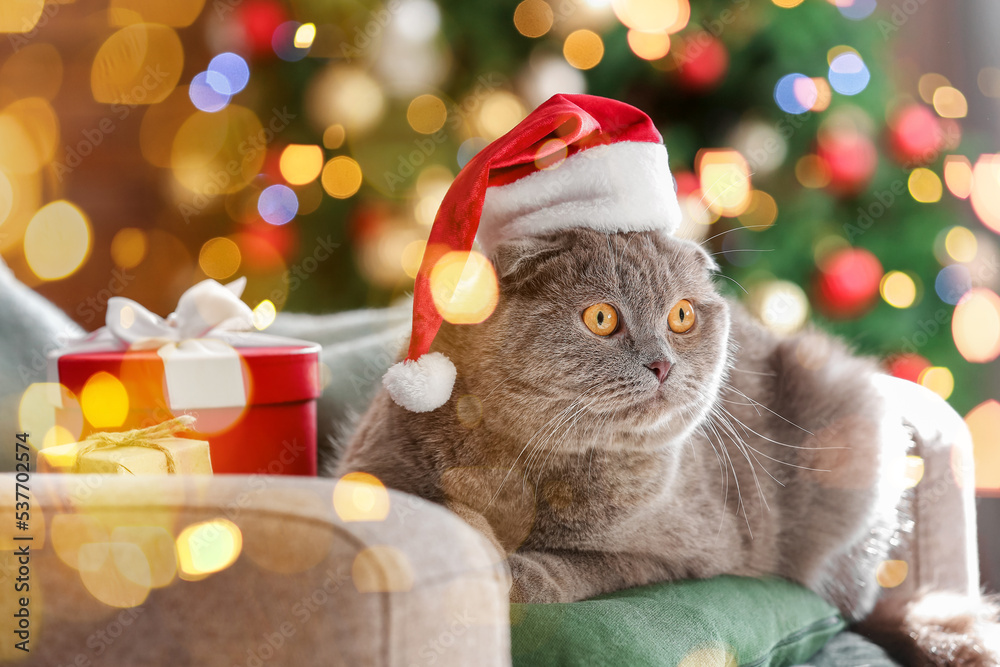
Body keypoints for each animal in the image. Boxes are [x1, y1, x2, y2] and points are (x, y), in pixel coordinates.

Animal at [334, 227, 992, 664]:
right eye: (601, 318)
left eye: (680, 316)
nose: (662, 364)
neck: (532, 464)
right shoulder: (370, 469)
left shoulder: (679, 551)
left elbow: (574, 567)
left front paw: (512, 564)